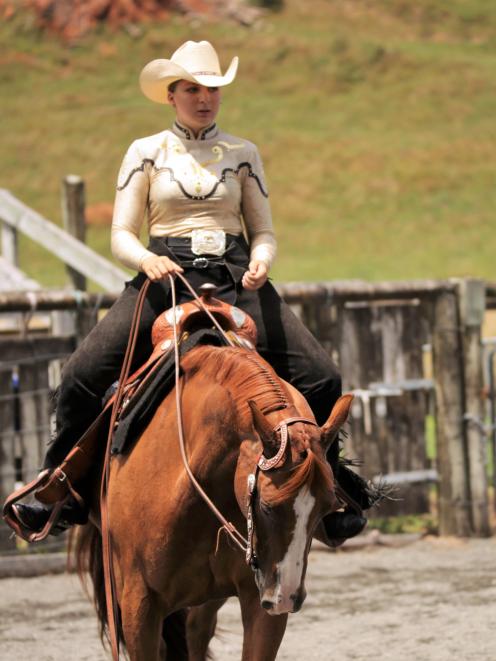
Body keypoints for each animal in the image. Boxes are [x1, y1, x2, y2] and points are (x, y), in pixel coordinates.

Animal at [77, 342, 352, 656]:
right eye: (266, 507)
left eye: (327, 508)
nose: (287, 596)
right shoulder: (139, 602)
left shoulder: (260, 600)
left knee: (196, 630)